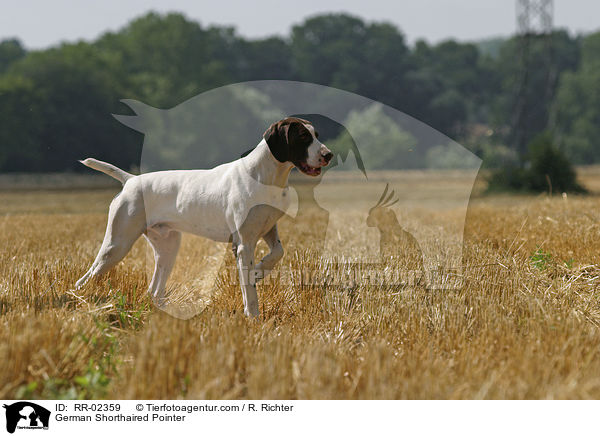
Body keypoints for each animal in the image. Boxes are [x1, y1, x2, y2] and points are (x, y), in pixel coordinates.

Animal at [75, 117, 332, 318]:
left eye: (316, 135)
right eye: (302, 136)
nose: (328, 154)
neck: (265, 177)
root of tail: (130, 180)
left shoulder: (268, 229)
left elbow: (278, 252)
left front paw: (260, 270)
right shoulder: (243, 244)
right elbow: (249, 289)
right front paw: (253, 317)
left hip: (168, 247)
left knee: (154, 291)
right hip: (116, 246)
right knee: (86, 278)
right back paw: (81, 301)